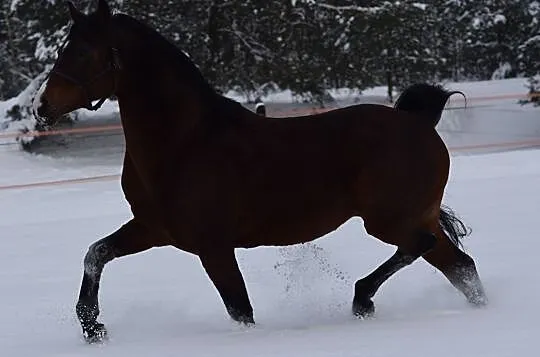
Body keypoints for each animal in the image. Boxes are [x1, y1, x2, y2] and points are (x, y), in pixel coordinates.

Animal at [34, 0, 490, 344]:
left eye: (84, 52)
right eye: (62, 49)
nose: (41, 107)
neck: (185, 140)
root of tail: (419, 122)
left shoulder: (214, 246)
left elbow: (240, 309)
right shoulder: (153, 229)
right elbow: (96, 254)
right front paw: (92, 327)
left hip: (388, 221)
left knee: (424, 248)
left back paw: (363, 300)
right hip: (413, 217)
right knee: (460, 266)